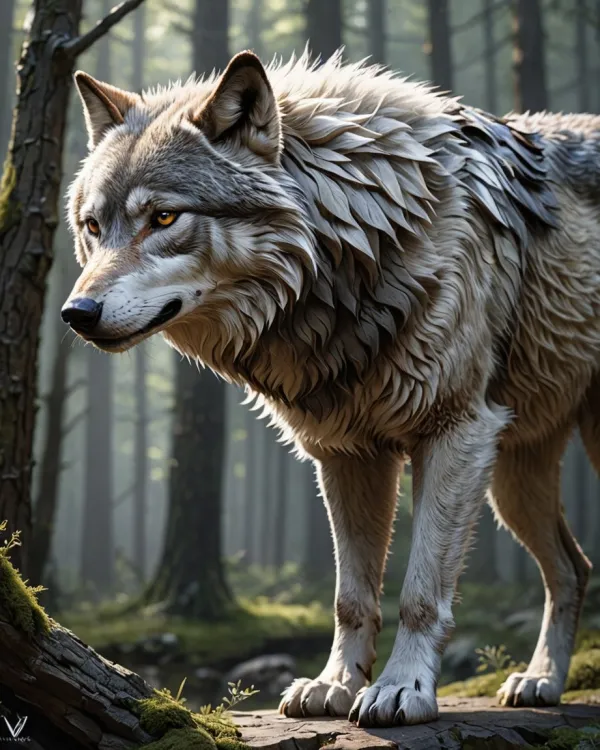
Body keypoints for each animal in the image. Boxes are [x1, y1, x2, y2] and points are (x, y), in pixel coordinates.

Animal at [62, 50, 599, 726]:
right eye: (92, 225)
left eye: (163, 217)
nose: (76, 313)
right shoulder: (347, 454)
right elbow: (351, 598)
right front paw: (335, 685)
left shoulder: (455, 434)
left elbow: (420, 592)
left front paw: (400, 689)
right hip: (512, 485)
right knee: (573, 568)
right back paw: (543, 680)